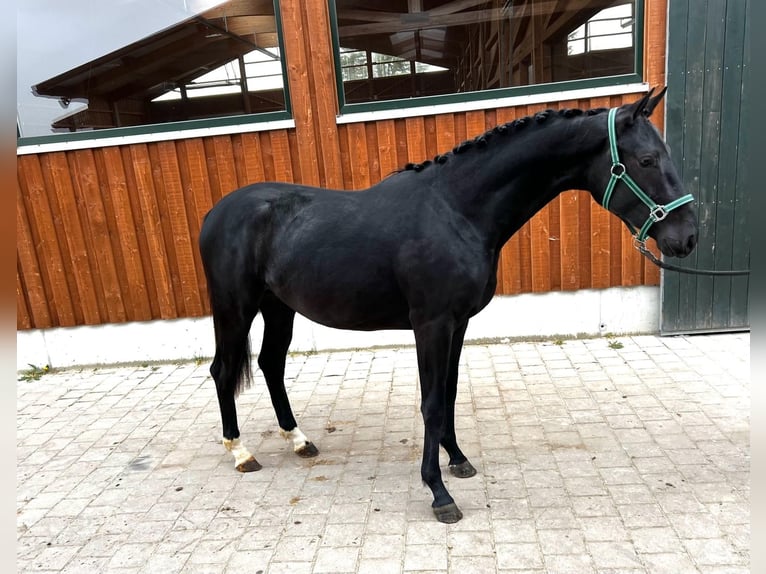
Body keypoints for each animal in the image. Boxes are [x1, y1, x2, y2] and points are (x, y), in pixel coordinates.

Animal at [200, 88, 704, 524]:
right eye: (646, 160)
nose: (687, 237)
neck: (457, 210)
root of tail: (215, 212)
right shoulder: (432, 324)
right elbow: (430, 403)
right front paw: (439, 493)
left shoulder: (458, 324)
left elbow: (450, 394)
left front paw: (458, 460)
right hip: (235, 307)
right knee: (223, 371)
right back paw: (241, 452)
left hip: (278, 307)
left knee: (270, 364)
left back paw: (299, 440)